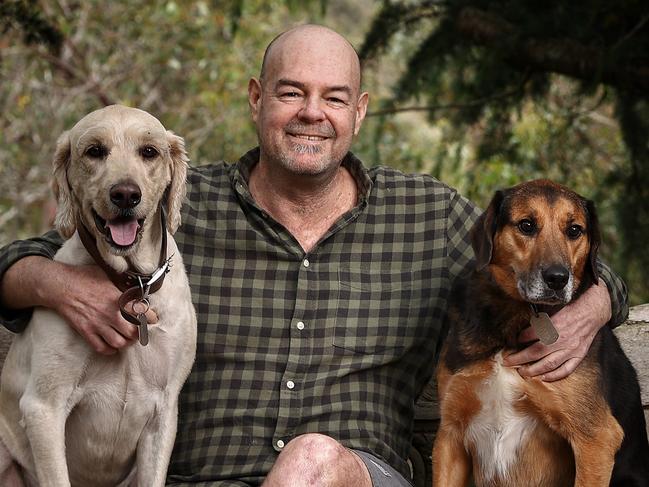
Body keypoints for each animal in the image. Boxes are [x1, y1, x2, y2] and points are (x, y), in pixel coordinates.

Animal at [0, 107, 196, 487]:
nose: (125, 194)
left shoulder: (164, 412)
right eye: (94, 151)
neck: (131, 284)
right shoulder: (44, 407)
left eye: (149, 152)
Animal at [430, 180, 648, 487]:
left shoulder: (596, 437)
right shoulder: (450, 434)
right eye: (527, 225)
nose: (557, 279)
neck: (518, 316)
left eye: (574, 230)